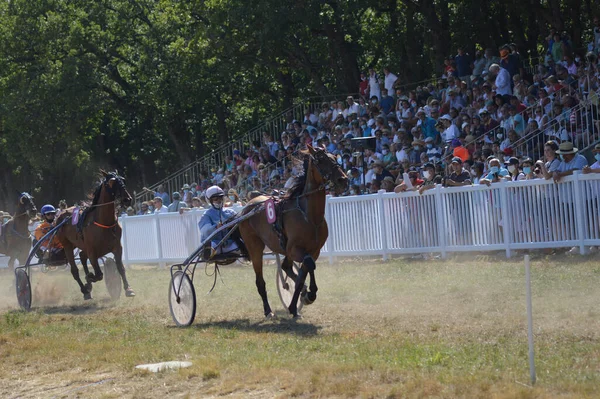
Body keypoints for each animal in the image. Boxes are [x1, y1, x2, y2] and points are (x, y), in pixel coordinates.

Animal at [56, 171, 136, 300]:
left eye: (123, 179)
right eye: (112, 182)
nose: (127, 199)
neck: (104, 222)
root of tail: (60, 215)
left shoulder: (117, 247)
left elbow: (120, 268)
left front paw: (128, 289)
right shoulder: (92, 252)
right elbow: (98, 274)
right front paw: (89, 278)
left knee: (82, 256)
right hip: (67, 246)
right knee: (75, 270)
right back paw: (85, 289)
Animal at [237, 146, 344, 318]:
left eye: (335, 157)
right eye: (321, 160)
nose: (343, 179)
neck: (309, 216)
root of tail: (247, 206)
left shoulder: (313, 250)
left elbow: (302, 274)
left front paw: (296, 304)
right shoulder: (294, 249)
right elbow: (309, 265)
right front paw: (310, 293)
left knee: (286, 266)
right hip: (255, 247)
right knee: (260, 281)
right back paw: (268, 310)